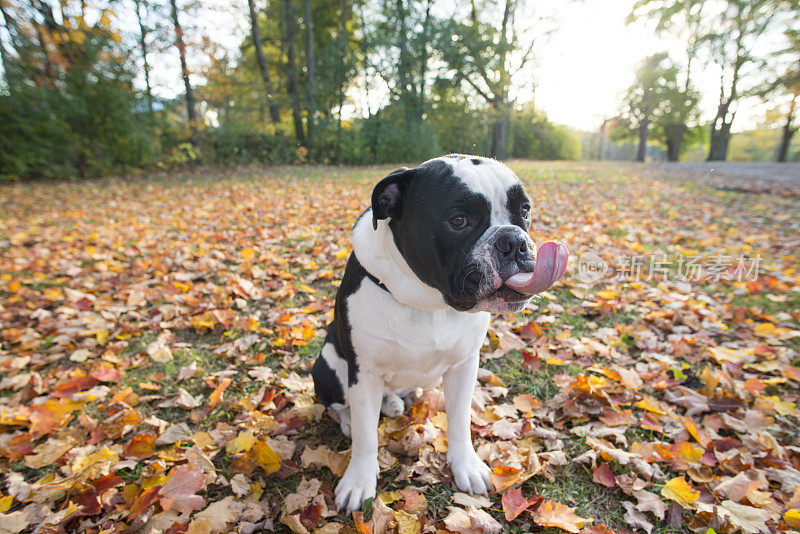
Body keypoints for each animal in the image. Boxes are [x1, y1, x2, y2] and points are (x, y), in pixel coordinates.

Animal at [310, 155, 564, 516]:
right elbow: (366, 435)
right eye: (458, 220)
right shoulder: (363, 372)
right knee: (339, 403)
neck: (428, 302)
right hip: (329, 362)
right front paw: (359, 480)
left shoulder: (464, 367)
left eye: (525, 211)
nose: (514, 241)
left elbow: (459, 421)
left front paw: (465, 466)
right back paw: (350, 418)